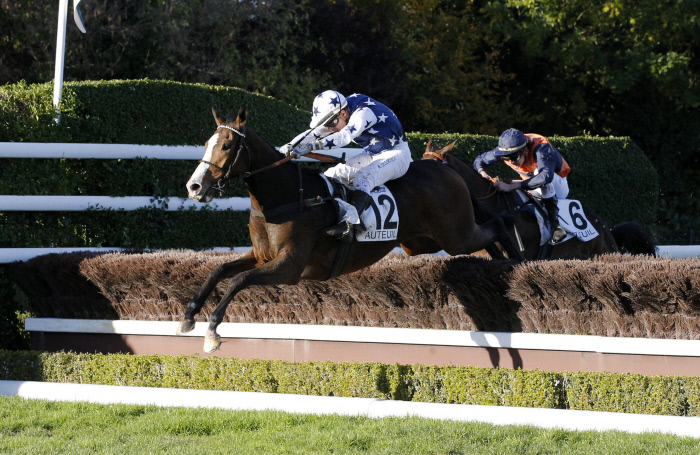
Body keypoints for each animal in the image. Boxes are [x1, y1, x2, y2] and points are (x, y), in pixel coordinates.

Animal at [180, 108, 520, 352]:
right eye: (207, 144)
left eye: (226, 145)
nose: (194, 187)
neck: (287, 196)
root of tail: (447, 169)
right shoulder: (261, 256)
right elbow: (220, 270)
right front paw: (188, 315)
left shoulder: (290, 267)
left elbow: (238, 280)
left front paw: (212, 330)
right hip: (424, 242)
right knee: (489, 237)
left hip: (455, 236)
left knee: (499, 225)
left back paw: (517, 260)